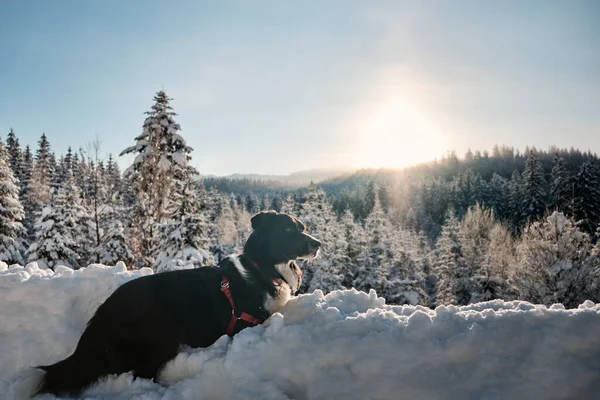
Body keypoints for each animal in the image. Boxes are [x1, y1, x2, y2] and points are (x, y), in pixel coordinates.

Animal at [35, 209, 322, 396]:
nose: (318, 243)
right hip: (160, 337)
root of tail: (100, 318)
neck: (260, 269)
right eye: (288, 229)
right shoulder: (247, 324)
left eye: (302, 227)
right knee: (142, 373)